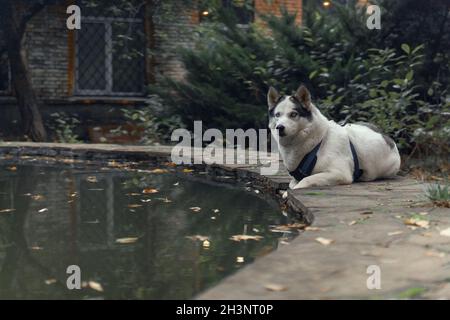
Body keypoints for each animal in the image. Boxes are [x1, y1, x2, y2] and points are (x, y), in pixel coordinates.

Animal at [268, 85, 400, 190]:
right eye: (277, 115)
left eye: (293, 114)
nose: (279, 127)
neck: (318, 142)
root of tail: (387, 138)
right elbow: (293, 183)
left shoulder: (340, 173)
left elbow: (306, 180)